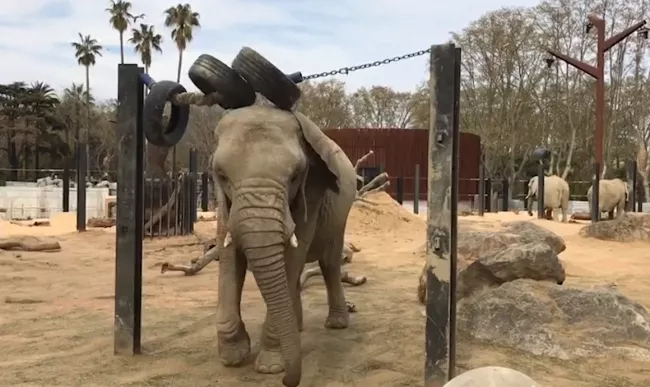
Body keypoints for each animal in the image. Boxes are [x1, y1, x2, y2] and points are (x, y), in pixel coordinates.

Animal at [211, 104, 354, 386]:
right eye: (221, 175)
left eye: (295, 176)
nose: (289, 380)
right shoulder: (224, 204)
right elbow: (229, 254)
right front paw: (233, 357)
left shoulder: (313, 191)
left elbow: (293, 255)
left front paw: (270, 367)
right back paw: (297, 327)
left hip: (340, 215)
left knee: (329, 262)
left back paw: (336, 324)